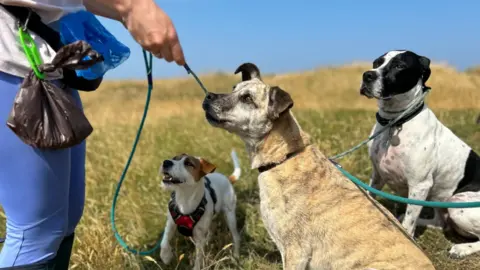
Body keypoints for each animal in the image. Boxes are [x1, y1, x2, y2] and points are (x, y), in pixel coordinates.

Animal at [360, 49, 480, 258]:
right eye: (376, 62)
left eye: (399, 66)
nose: (367, 75)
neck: (395, 123)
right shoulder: (377, 176)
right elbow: (370, 198)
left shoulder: (419, 185)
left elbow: (409, 224)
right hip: (440, 199)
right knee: (439, 223)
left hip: (458, 205)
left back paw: (463, 248)